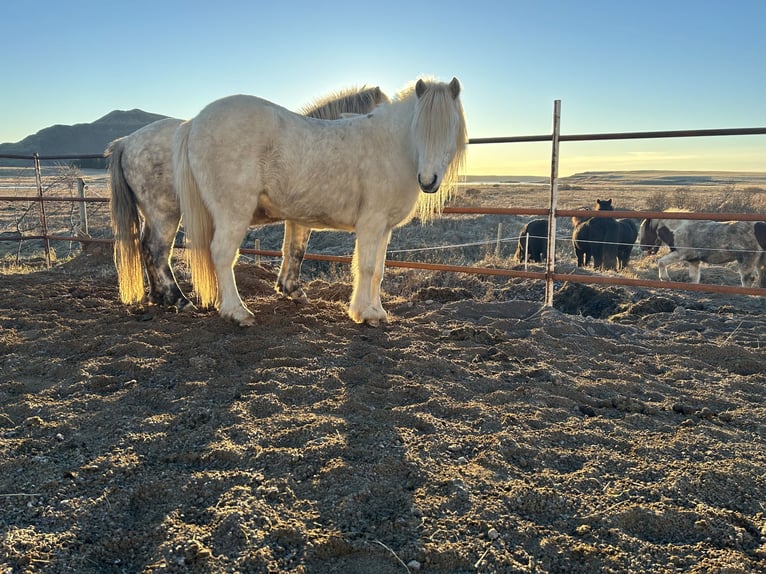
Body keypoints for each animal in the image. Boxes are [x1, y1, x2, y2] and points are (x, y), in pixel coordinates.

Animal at [107, 86, 388, 310]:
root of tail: (127, 142)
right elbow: (298, 250)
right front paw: (294, 290)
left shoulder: (294, 217)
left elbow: (290, 249)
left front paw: (286, 287)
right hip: (165, 214)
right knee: (157, 250)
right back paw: (178, 299)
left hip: (153, 214)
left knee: (146, 247)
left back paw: (159, 296)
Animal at [174, 77, 467, 326]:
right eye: (419, 127)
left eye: (450, 127)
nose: (428, 180)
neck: (392, 147)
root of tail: (194, 122)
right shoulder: (371, 223)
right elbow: (366, 267)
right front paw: (364, 313)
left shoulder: (385, 228)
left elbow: (379, 270)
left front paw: (378, 311)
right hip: (233, 214)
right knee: (222, 254)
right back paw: (238, 312)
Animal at [638, 215, 766, 287]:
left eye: (644, 230)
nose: (643, 248)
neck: (677, 229)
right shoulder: (693, 260)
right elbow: (694, 278)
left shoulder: (680, 254)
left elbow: (661, 262)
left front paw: (664, 278)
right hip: (759, 262)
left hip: (746, 260)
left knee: (747, 279)